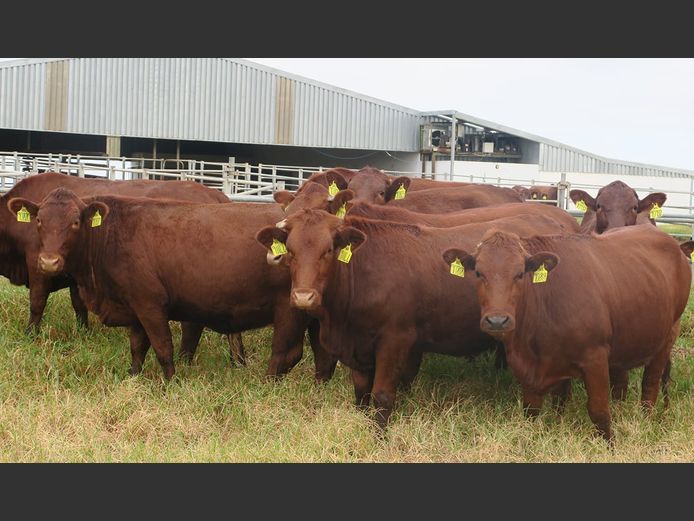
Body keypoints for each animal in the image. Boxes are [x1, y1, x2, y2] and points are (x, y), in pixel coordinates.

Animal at [8, 188, 336, 382]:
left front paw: (170, 382)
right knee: (321, 355)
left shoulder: (150, 304)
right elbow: (137, 346)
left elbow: (163, 346)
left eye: (75, 222)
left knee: (284, 354)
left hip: (290, 308)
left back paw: (267, 385)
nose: (48, 261)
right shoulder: (133, 305)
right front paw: (133, 376)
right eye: (39, 221)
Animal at [255, 209, 572, 430]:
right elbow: (361, 393)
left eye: (328, 250)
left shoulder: (396, 340)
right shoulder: (358, 346)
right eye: (291, 251)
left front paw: (379, 437)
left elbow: (382, 394)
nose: (303, 297)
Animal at [441, 224, 691, 443]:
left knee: (650, 385)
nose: (497, 321)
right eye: (478, 272)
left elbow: (599, 410)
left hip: (667, 336)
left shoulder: (595, 357)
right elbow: (535, 410)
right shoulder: (531, 370)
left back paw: (646, 419)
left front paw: (610, 445)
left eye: (520, 273)